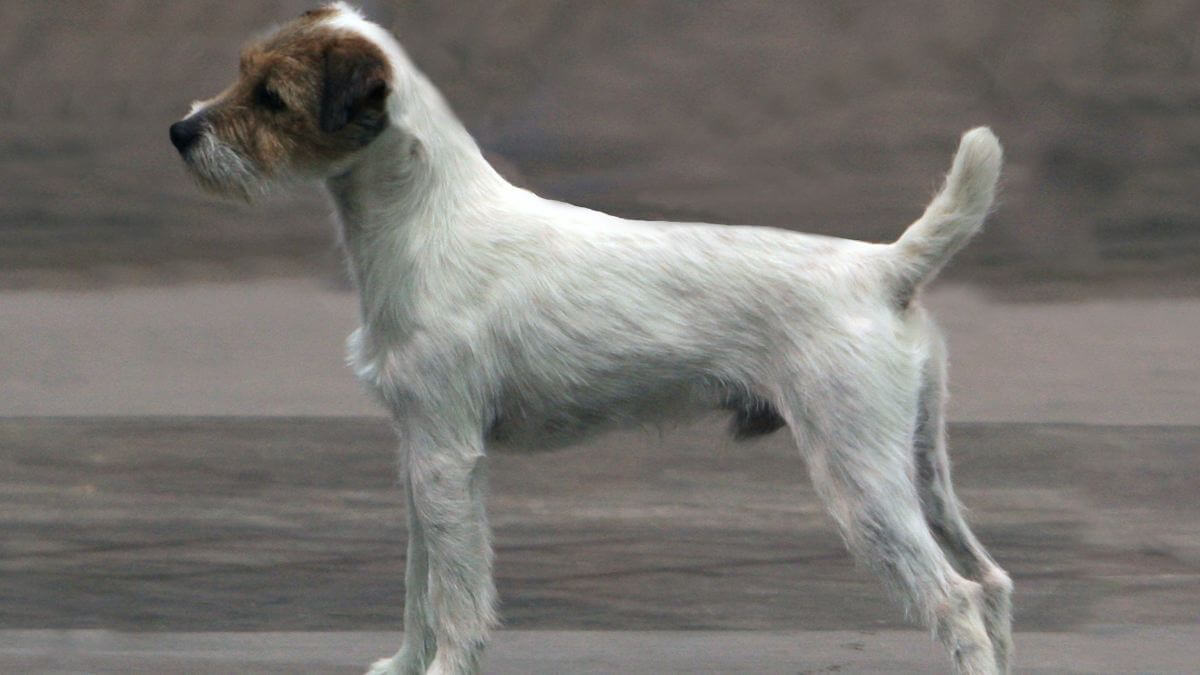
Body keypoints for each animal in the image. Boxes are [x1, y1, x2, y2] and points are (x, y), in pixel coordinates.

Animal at [169, 2, 1012, 667]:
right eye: (241, 72)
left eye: (272, 97)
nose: (180, 131)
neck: (429, 220)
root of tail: (883, 267)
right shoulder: (418, 456)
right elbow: (418, 584)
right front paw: (406, 663)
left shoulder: (446, 457)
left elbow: (456, 596)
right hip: (917, 463)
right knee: (993, 580)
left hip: (860, 479)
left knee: (956, 597)